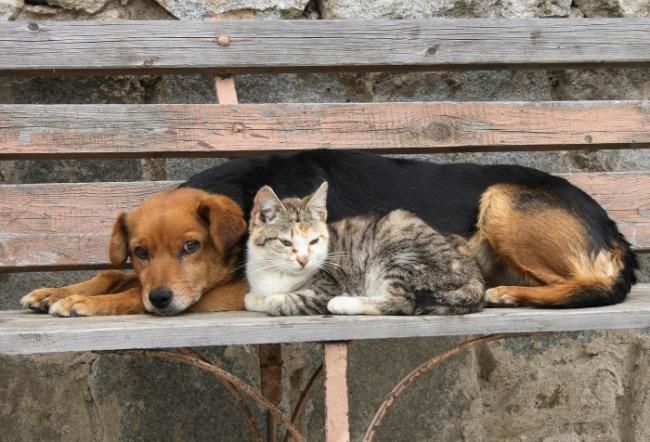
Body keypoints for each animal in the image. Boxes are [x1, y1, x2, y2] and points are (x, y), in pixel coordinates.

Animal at [21, 188, 247, 316]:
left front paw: (83, 301)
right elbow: (114, 276)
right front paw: (52, 293)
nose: (159, 298)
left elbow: (135, 293)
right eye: (140, 252)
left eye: (191, 246)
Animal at [243, 183, 480, 318]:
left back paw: (342, 304)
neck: (275, 273)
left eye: (314, 241)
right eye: (285, 243)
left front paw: (272, 300)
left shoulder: (328, 287)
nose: (303, 259)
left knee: (401, 302)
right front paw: (256, 298)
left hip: (401, 251)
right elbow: (249, 298)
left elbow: (277, 301)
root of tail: (473, 274)